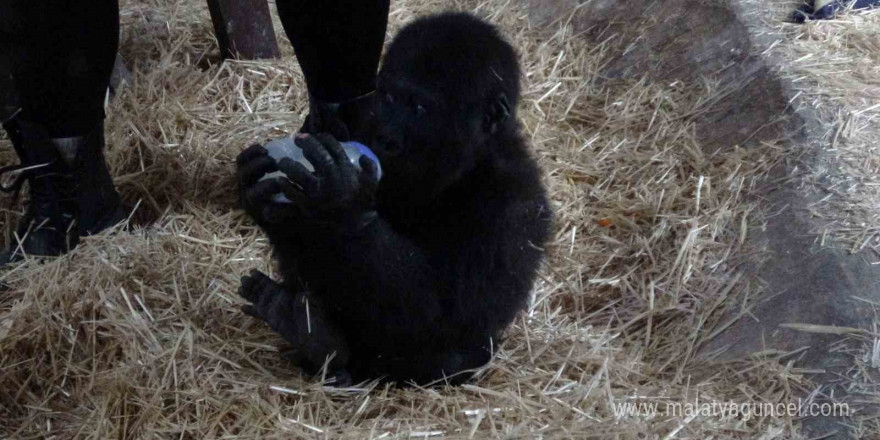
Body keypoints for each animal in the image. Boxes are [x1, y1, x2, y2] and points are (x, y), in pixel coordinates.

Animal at [234, 12, 552, 384]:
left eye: (419, 107)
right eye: (387, 98)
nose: (386, 135)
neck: (468, 162)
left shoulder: (513, 205)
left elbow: (444, 314)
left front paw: (342, 206)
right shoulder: (356, 123)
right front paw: (262, 198)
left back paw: (322, 343)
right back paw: (307, 331)